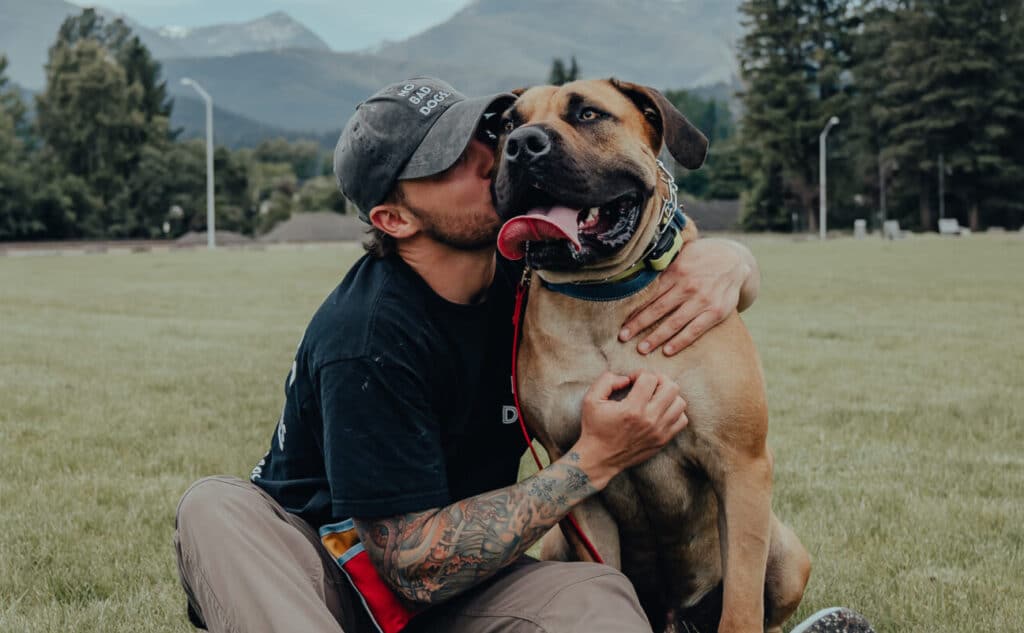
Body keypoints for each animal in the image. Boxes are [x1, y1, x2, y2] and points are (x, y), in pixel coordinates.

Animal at [491, 79, 811, 630]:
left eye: (588, 114)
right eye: (510, 123)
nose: (523, 144)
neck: (603, 297)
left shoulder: (741, 464)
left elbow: (742, 603)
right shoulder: (578, 477)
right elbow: (604, 570)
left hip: (788, 555)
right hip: (556, 538)